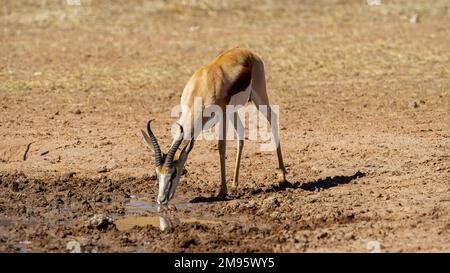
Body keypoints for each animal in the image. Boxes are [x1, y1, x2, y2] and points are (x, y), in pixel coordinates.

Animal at [142, 47, 288, 204]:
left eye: (174, 173)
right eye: (157, 173)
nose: (161, 199)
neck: (201, 85)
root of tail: (247, 51)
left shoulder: (222, 115)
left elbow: (221, 146)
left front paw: (222, 191)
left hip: (258, 97)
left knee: (272, 118)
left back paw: (282, 176)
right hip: (233, 110)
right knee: (241, 134)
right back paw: (235, 184)